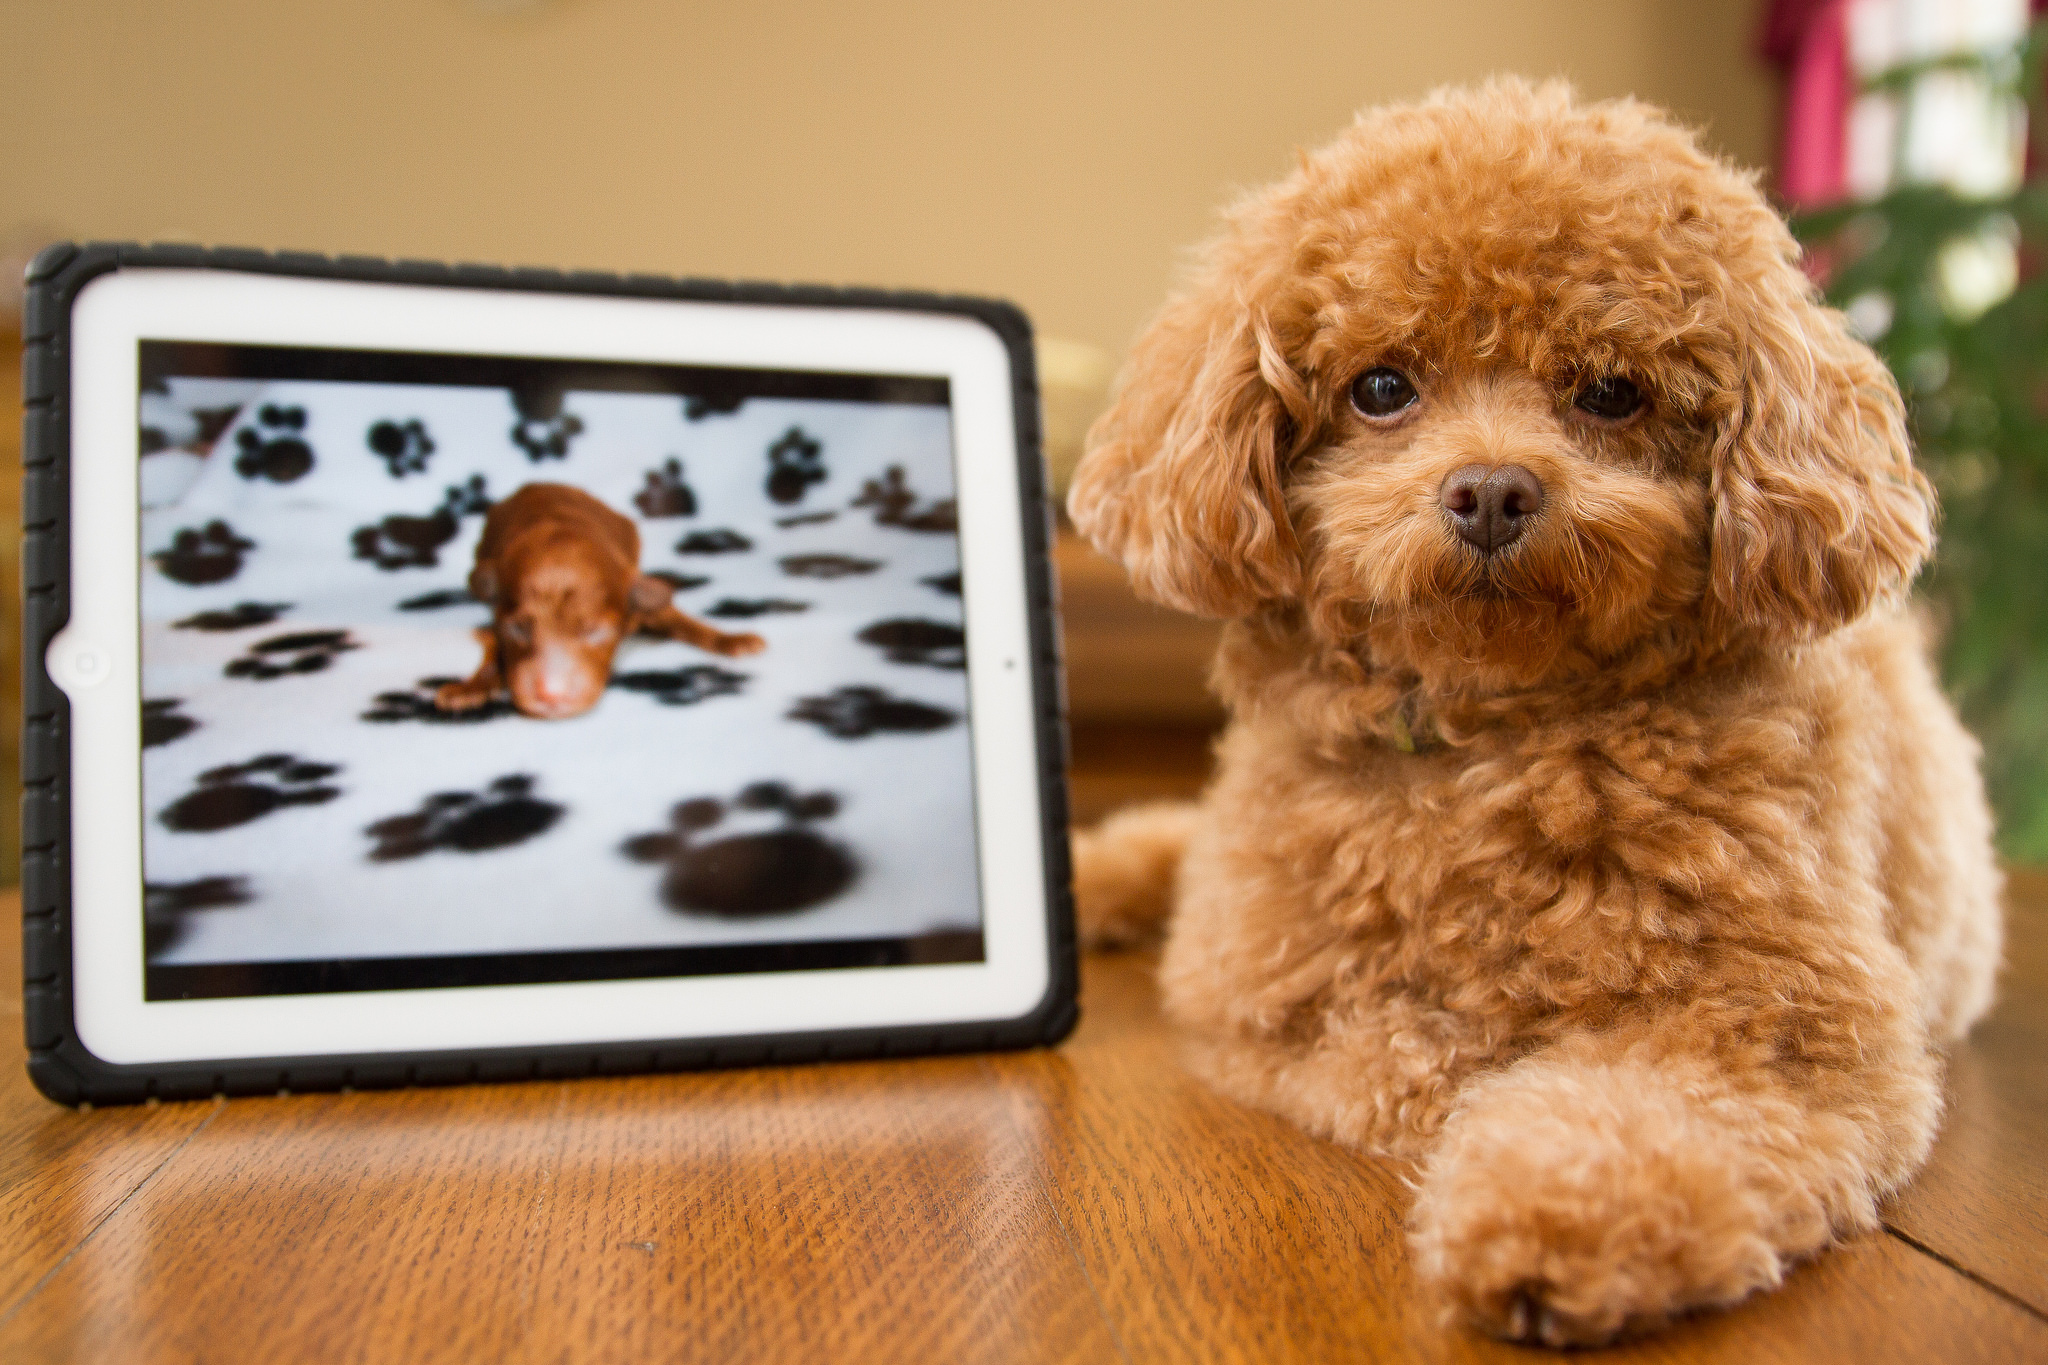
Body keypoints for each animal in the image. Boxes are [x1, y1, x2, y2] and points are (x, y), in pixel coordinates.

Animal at [436, 482, 765, 720]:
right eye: (518, 629)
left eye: (595, 631)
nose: (551, 695)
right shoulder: (497, 615)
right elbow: (494, 647)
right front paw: (470, 687)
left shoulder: (635, 593)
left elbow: (681, 619)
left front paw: (733, 639)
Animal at [1073, 80, 1998, 1350]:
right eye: (1380, 388)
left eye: (1609, 391)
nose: (1491, 492)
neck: (1490, 738)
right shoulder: (1256, 996)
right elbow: (1392, 1053)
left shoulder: (1783, 1031)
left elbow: (1622, 1106)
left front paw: (1550, 1221)